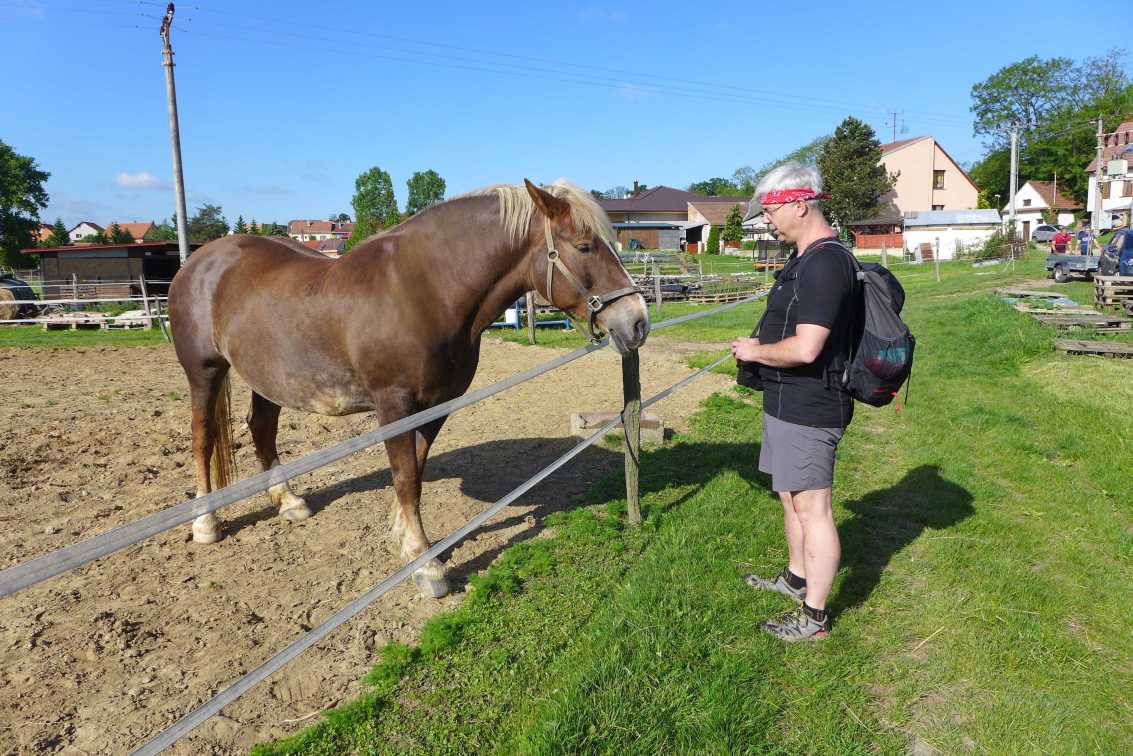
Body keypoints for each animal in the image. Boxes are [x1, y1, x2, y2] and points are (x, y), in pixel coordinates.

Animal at [165, 179, 648, 598]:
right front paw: (425, 564)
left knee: (262, 428)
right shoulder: (394, 405)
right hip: (205, 372)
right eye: (584, 246)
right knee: (202, 437)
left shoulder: (436, 404)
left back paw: (288, 502)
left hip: (269, 379)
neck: (424, 290)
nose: (637, 322)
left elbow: (414, 470)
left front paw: (407, 540)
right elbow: (404, 477)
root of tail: (199, 262)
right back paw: (205, 523)